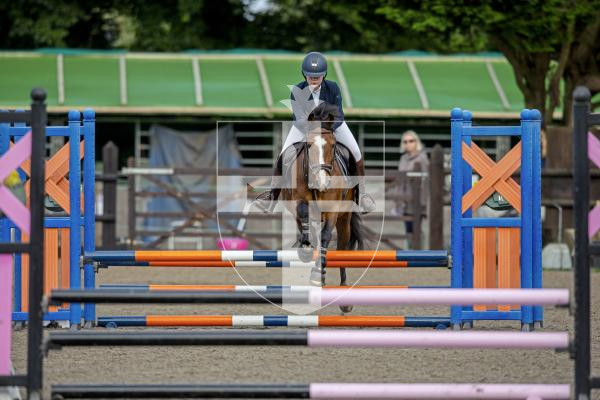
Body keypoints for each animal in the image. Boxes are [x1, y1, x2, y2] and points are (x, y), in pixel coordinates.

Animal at [280, 101, 366, 312]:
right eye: (309, 145)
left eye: (333, 145)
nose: (322, 182)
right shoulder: (299, 203)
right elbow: (304, 215)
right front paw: (305, 250)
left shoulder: (333, 210)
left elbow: (327, 236)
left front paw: (318, 276)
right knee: (309, 229)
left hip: (344, 220)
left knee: (342, 247)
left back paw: (345, 299)